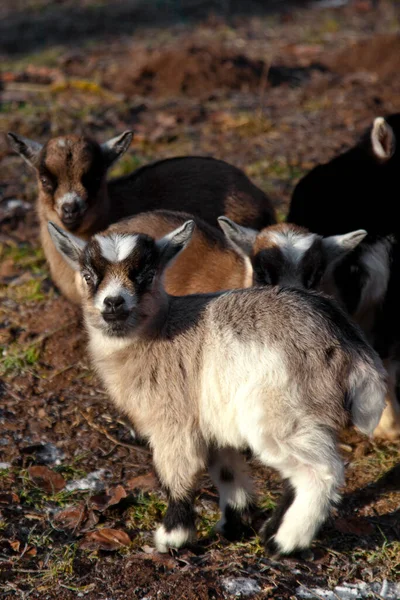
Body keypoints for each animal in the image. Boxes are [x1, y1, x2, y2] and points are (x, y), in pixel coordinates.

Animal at [48, 220, 386, 556]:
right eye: (88, 276)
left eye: (147, 274)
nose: (113, 303)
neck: (158, 331)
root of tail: (350, 346)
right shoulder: (210, 424)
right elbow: (226, 472)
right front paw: (234, 525)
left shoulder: (173, 422)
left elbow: (177, 475)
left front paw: (173, 537)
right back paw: (271, 530)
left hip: (284, 415)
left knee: (321, 471)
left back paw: (285, 542)